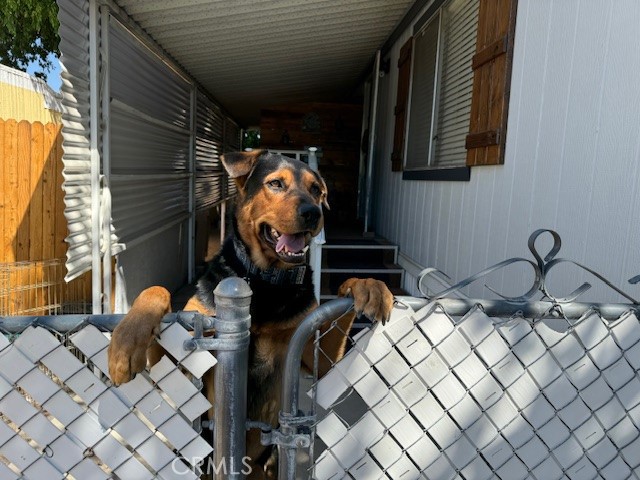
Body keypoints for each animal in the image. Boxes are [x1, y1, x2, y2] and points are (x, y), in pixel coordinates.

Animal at [107, 149, 392, 476]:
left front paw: (369, 286)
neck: (265, 279)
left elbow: (347, 298)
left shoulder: (315, 353)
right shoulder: (185, 354)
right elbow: (156, 289)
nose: (313, 213)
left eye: (316, 190)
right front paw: (126, 342)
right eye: (276, 184)